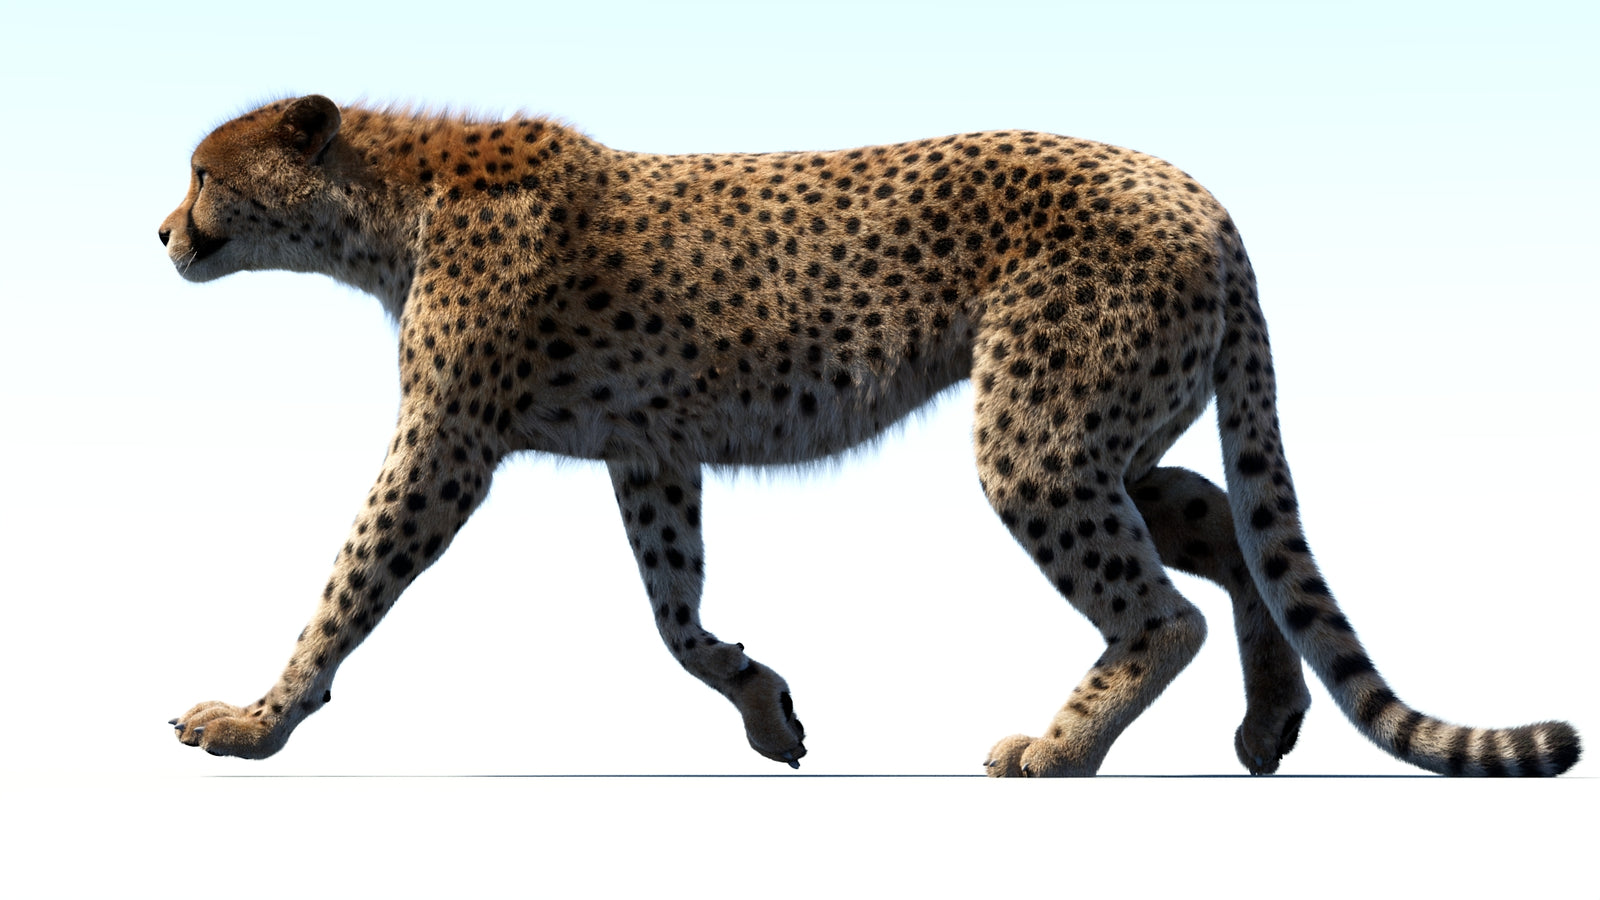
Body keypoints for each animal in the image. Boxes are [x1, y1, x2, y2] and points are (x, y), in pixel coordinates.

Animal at [160, 95, 1581, 776]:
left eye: (203, 172)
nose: (165, 230)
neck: (382, 203)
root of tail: (1199, 193)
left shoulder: (447, 448)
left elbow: (347, 585)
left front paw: (256, 719)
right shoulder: (650, 453)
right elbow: (672, 612)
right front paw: (762, 705)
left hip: (1036, 433)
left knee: (1162, 607)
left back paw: (1060, 750)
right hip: (1107, 427)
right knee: (1221, 519)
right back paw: (1270, 719)